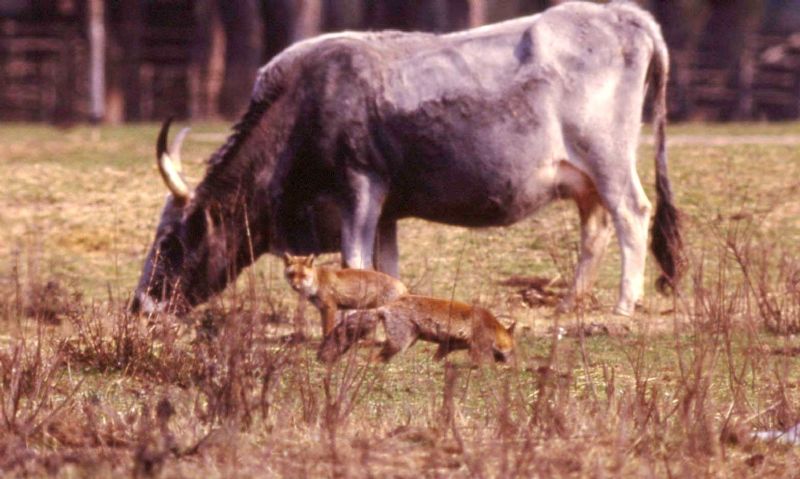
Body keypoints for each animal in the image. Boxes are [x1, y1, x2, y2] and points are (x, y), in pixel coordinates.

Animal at [131, 1, 680, 320]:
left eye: (170, 241)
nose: (140, 305)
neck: (305, 100)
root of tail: (622, 14)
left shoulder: (360, 188)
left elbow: (354, 260)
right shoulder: (387, 211)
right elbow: (385, 264)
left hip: (608, 160)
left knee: (632, 215)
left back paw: (624, 304)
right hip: (584, 181)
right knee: (596, 230)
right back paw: (570, 302)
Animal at [316, 296, 516, 364]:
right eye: (513, 352)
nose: (514, 364)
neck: (491, 326)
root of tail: (386, 307)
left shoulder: (448, 345)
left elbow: (437, 358)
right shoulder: (479, 345)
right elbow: (485, 362)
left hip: (410, 341)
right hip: (400, 343)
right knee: (375, 359)